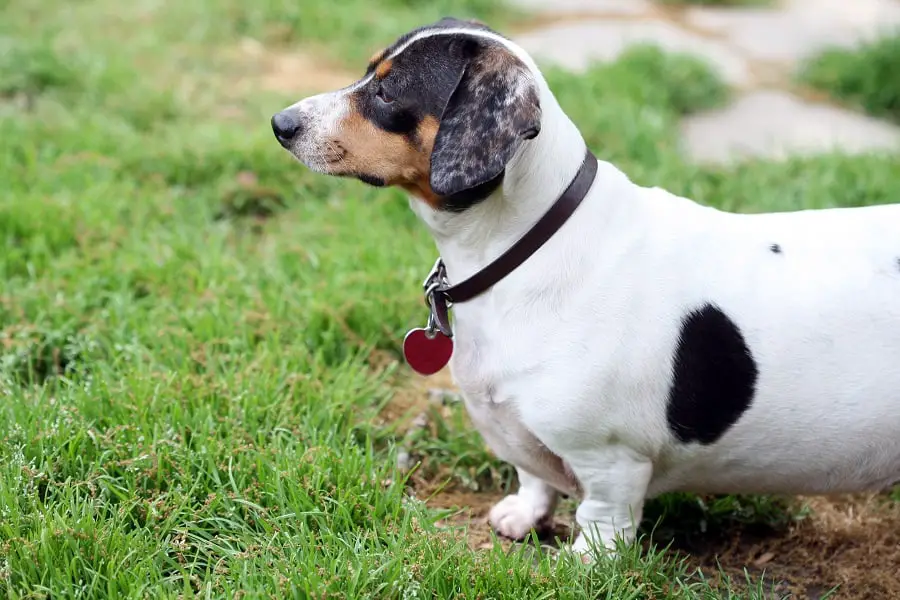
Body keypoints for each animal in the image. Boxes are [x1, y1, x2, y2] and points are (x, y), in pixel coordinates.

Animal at [270, 16, 900, 556]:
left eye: (386, 92)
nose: (280, 124)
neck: (527, 249)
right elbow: (533, 477)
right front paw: (523, 516)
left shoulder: (612, 461)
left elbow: (601, 519)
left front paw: (583, 563)